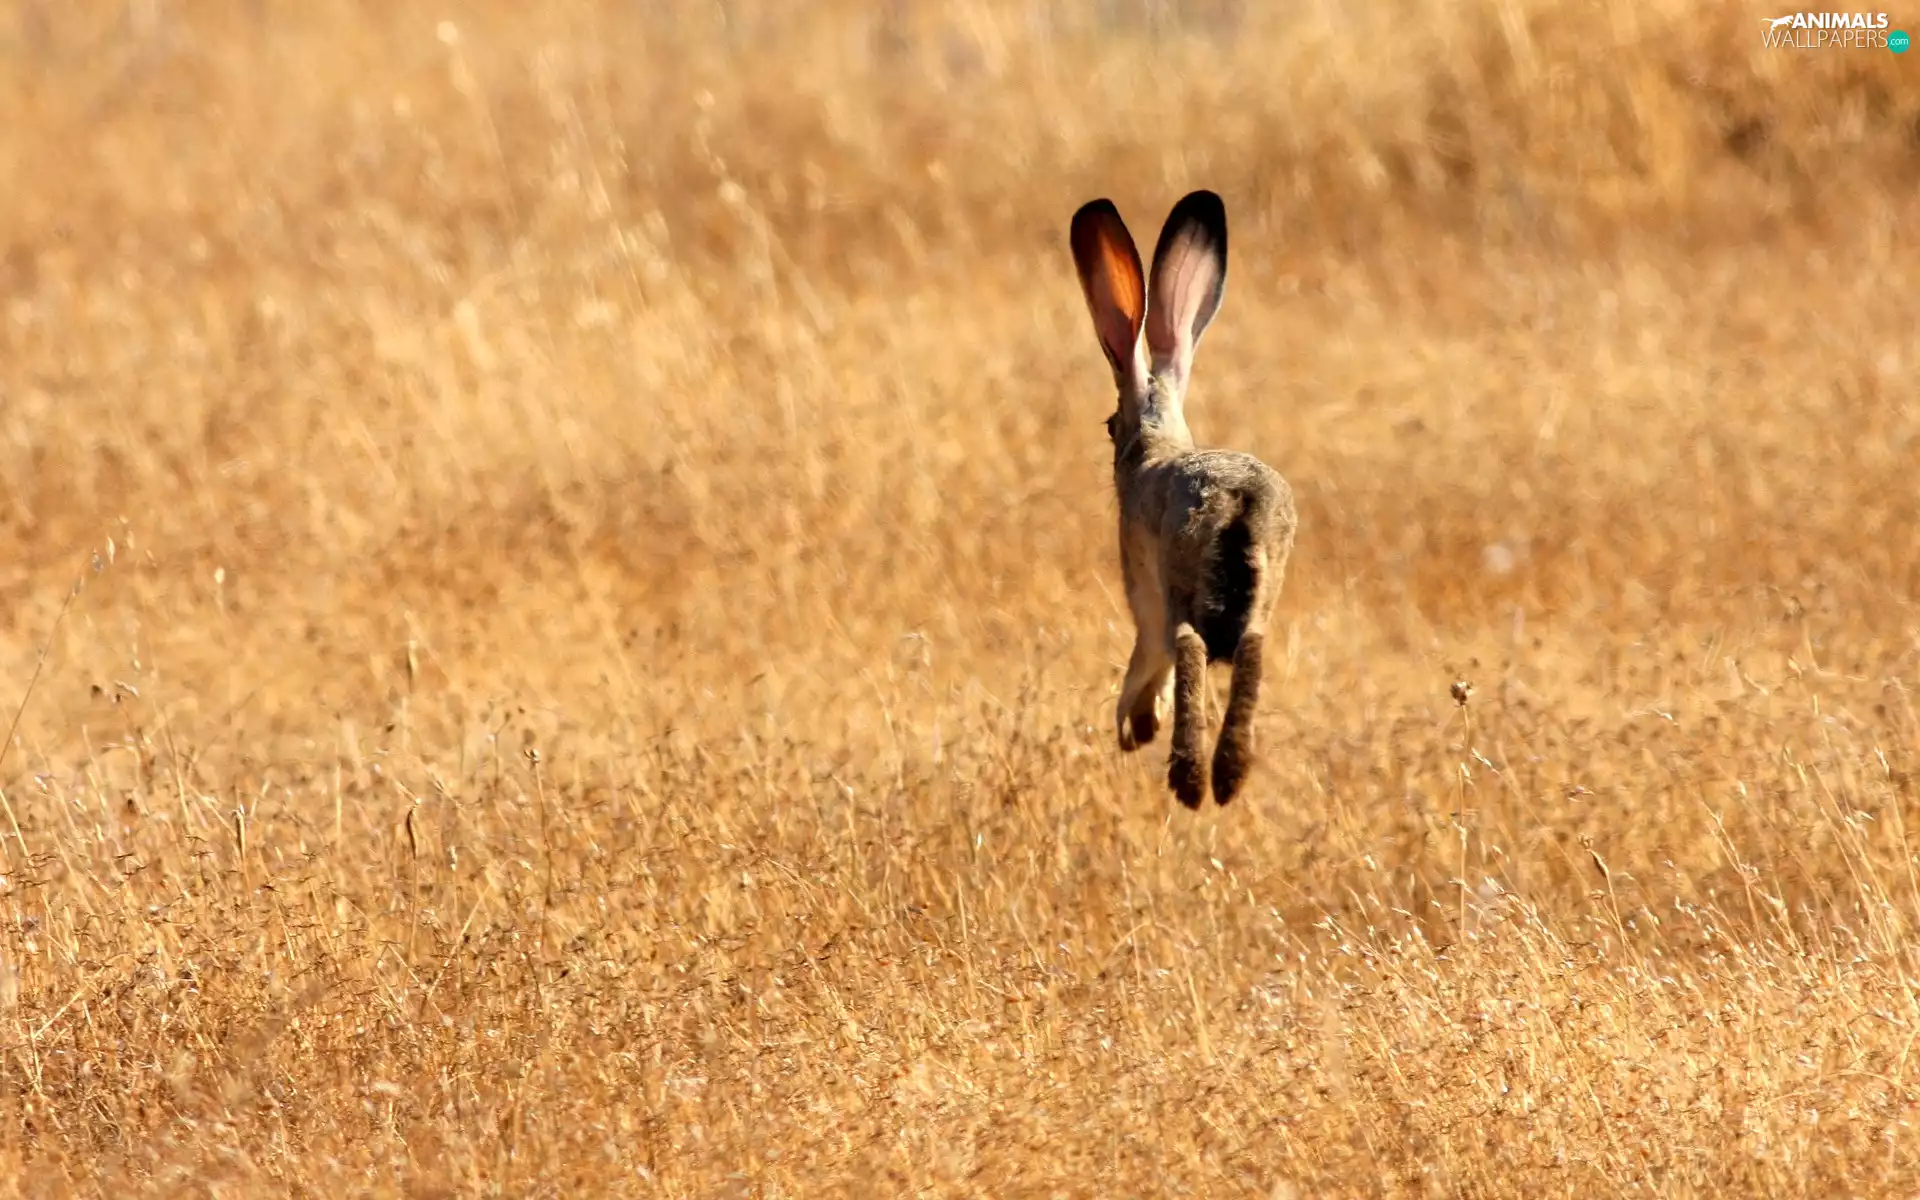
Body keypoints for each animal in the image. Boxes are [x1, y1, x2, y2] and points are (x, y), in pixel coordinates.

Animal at [1069, 189, 1297, 808]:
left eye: (1107, 425)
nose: (1110, 440)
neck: (1161, 443)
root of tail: (1237, 501)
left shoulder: (1139, 588)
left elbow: (1148, 658)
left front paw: (1136, 724)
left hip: (1176, 585)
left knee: (1188, 646)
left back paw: (1190, 777)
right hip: (1264, 589)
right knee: (1252, 649)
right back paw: (1228, 774)